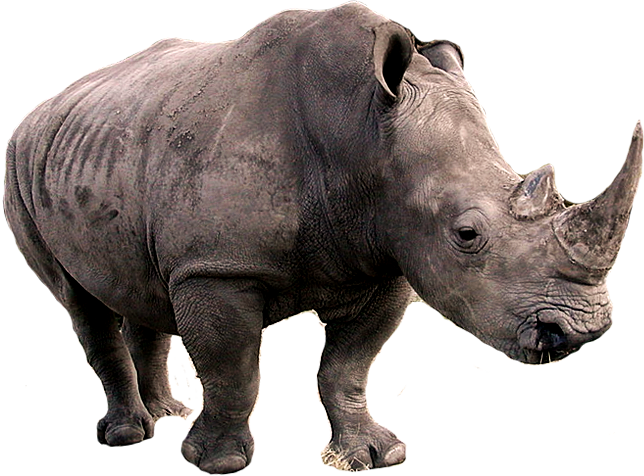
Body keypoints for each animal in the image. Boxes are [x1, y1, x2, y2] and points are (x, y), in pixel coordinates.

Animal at [3, 1, 642, 472]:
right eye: (466, 234)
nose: (581, 333)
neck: (361, 131)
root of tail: (40, 110)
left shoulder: (385, 254)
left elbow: (347, 367)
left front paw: (376, 453)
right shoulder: (217, 266)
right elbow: (233, 371)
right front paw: (217, 462)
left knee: (139, 283)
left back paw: (165, 414)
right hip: (21, 169)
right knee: (78, 297)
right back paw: (130, 434)